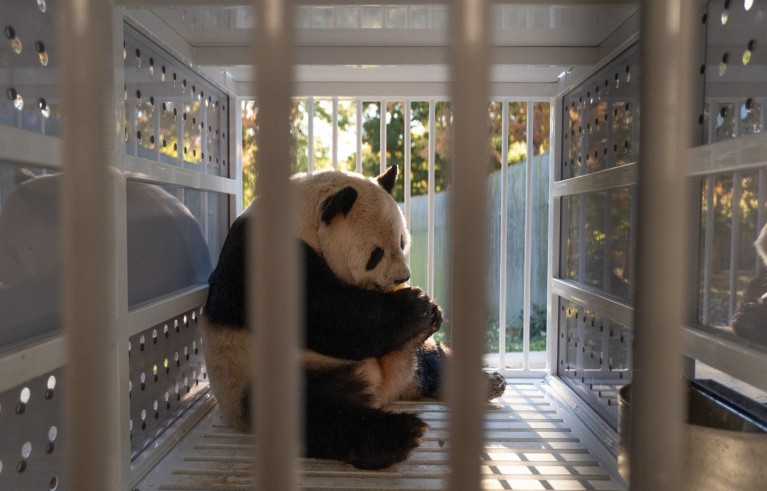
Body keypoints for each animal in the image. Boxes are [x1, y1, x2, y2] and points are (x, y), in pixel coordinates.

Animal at [201, 167, 508, 470]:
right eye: (376, 254)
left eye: (402, 242)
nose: (402, 278)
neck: (304, 222)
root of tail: (382, 387)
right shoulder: (265, 258)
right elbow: (331, 315)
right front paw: (416, 305)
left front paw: (431, 311)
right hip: (262, 375)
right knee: (314, 413)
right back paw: (398, 435)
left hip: (404, 355)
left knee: (432, 359)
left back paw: (487, 382)